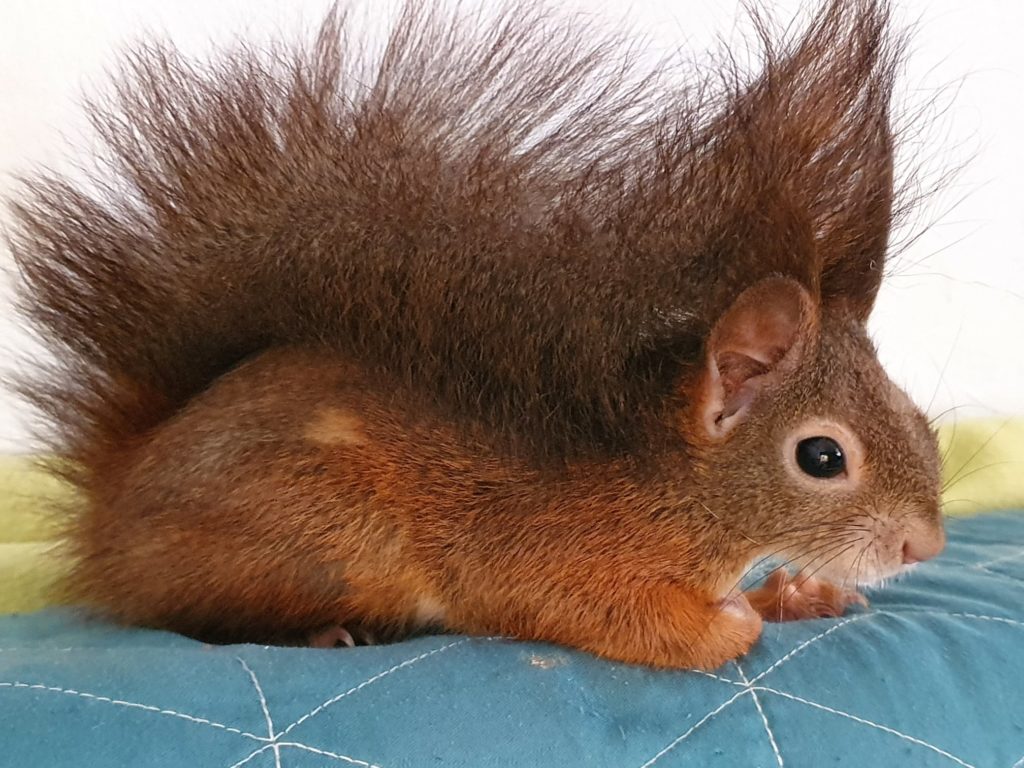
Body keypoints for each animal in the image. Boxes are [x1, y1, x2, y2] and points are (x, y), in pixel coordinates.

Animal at [6, 0, 947, 670]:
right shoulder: (554, 562)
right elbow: (628, 626)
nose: (926, 546)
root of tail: (112, 515)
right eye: (821, 457)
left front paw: (796, 593)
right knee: (185, 622)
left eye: (922, 420)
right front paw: (741, 619)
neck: (677, 490)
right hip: (320, 533)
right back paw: (318, 636)